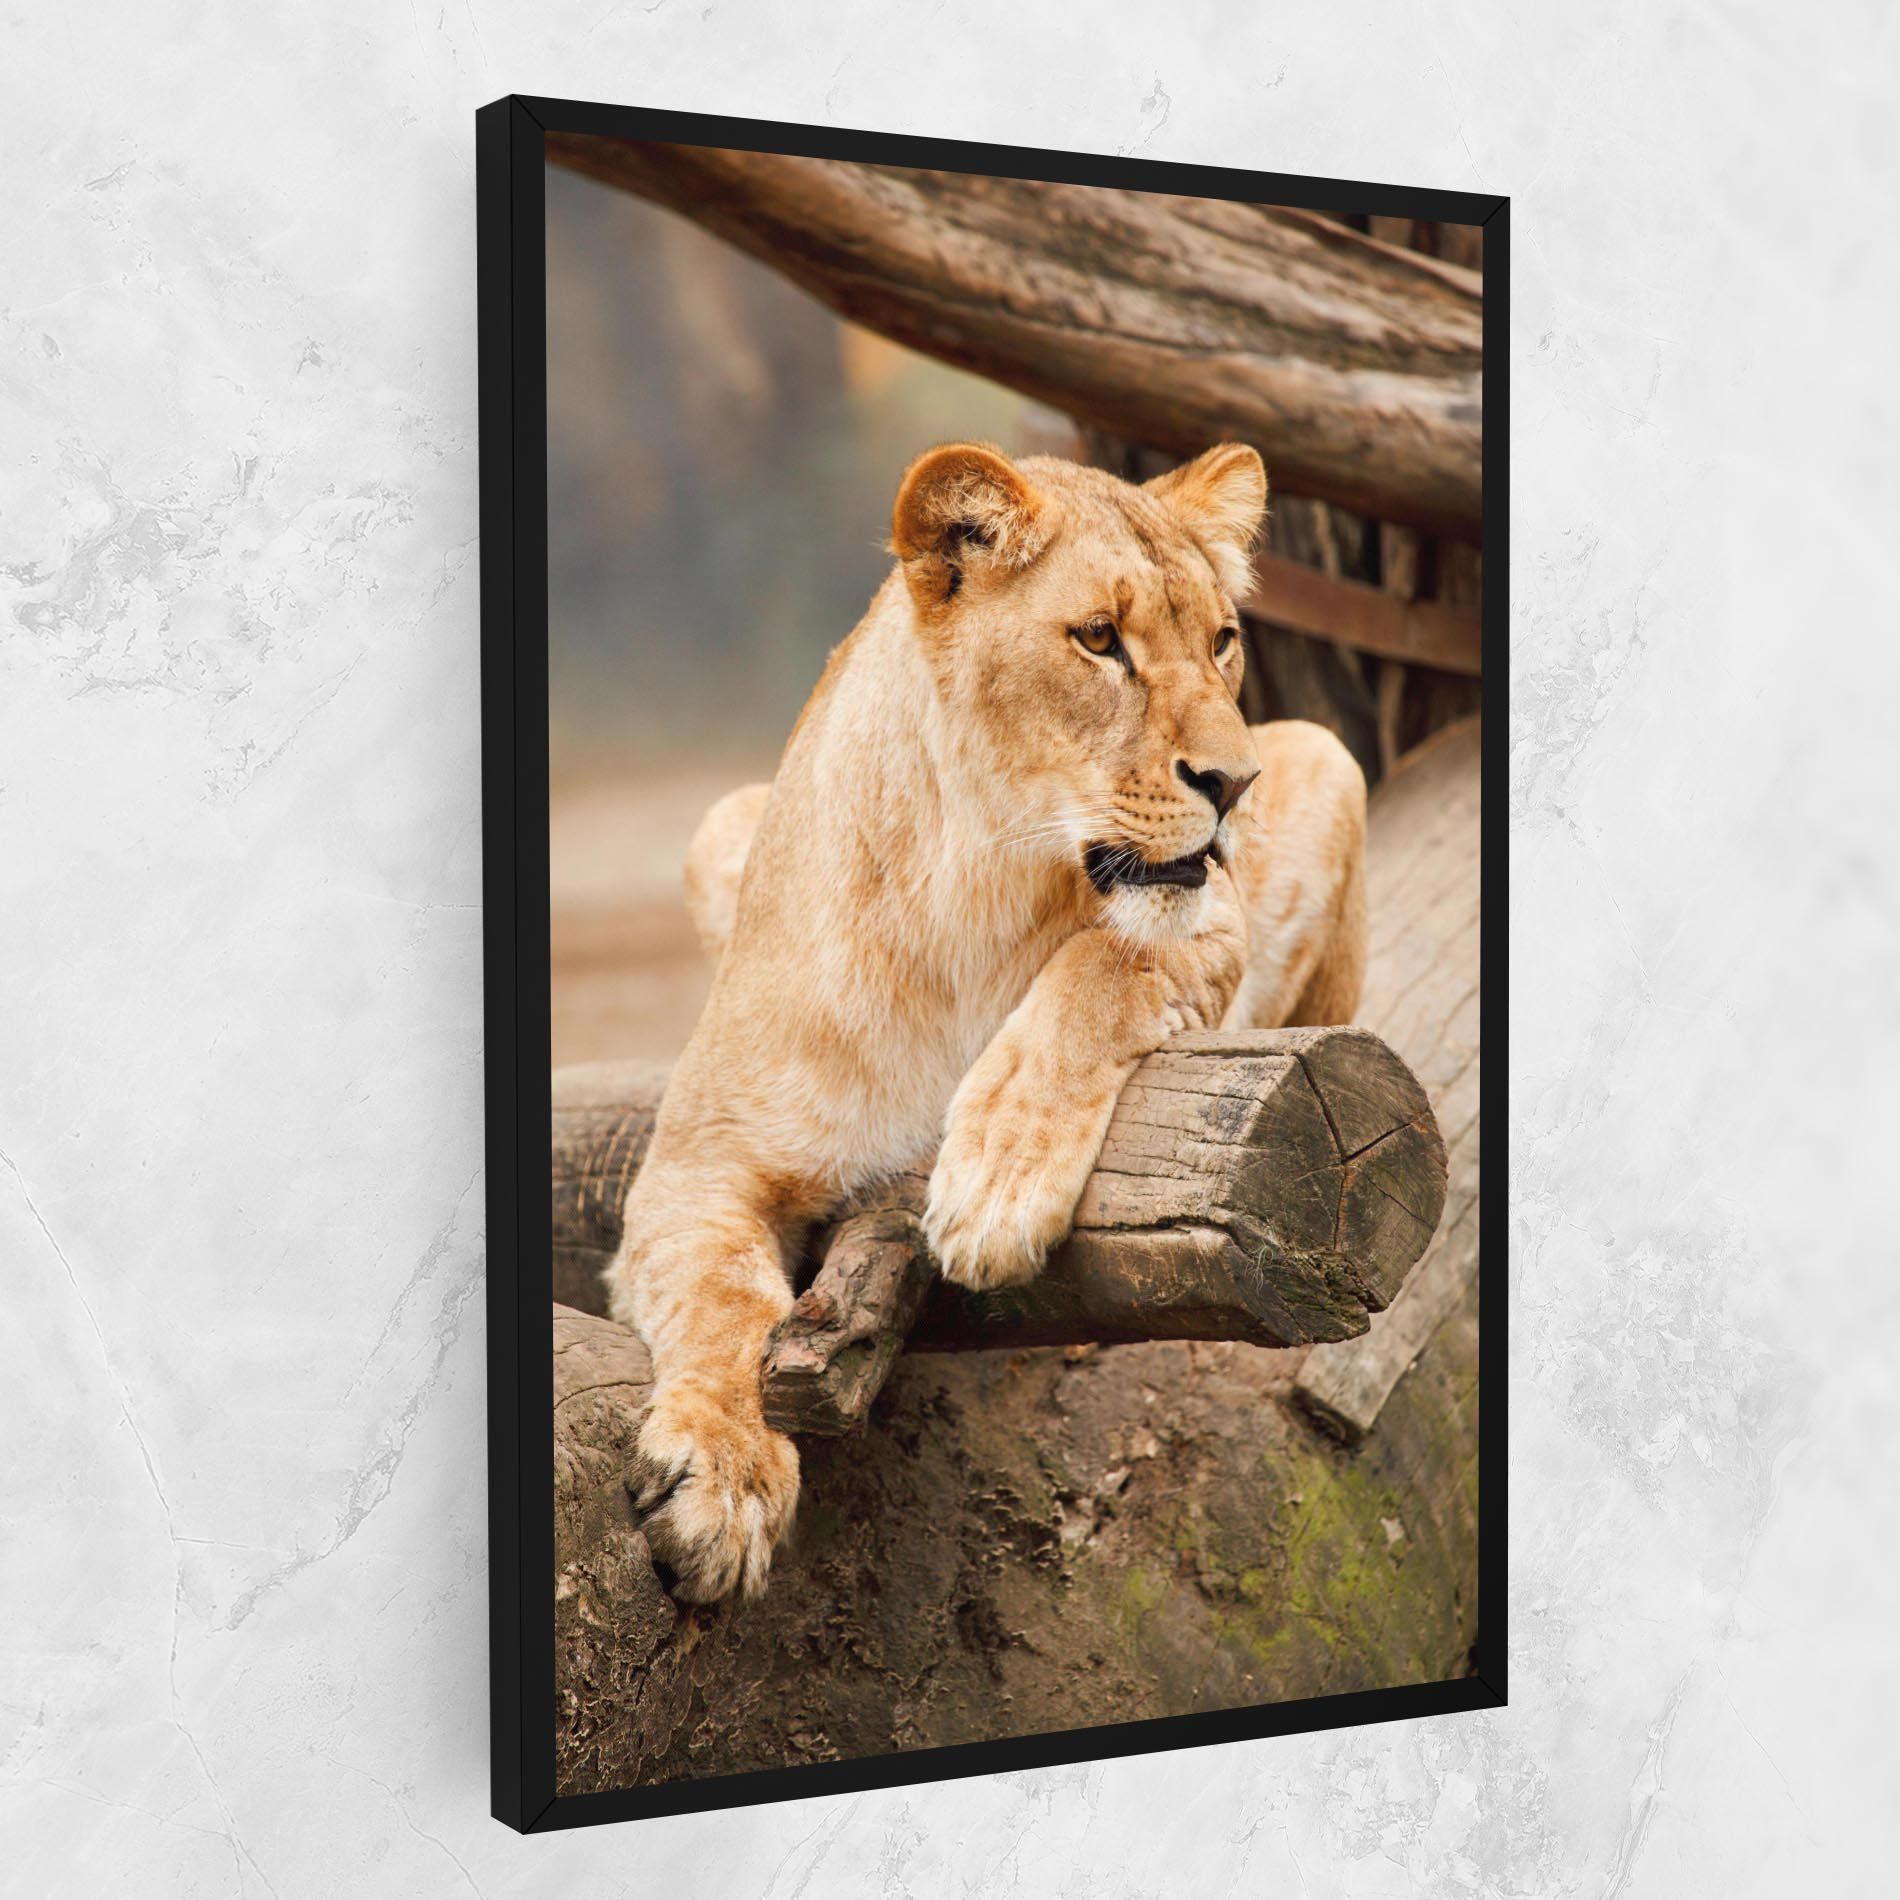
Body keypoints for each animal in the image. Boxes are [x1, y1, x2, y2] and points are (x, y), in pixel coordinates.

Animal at [604, 441, 1367, 1602]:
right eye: (1099, 638)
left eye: (1222, 641)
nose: (1236, 784)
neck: (970, 890)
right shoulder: (697, 1163)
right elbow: (720, 1298)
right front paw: (723, 1478)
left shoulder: (1207, 915)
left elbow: (1103, 961)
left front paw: (994, 1186)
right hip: (718, 824)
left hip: (1327, 754)